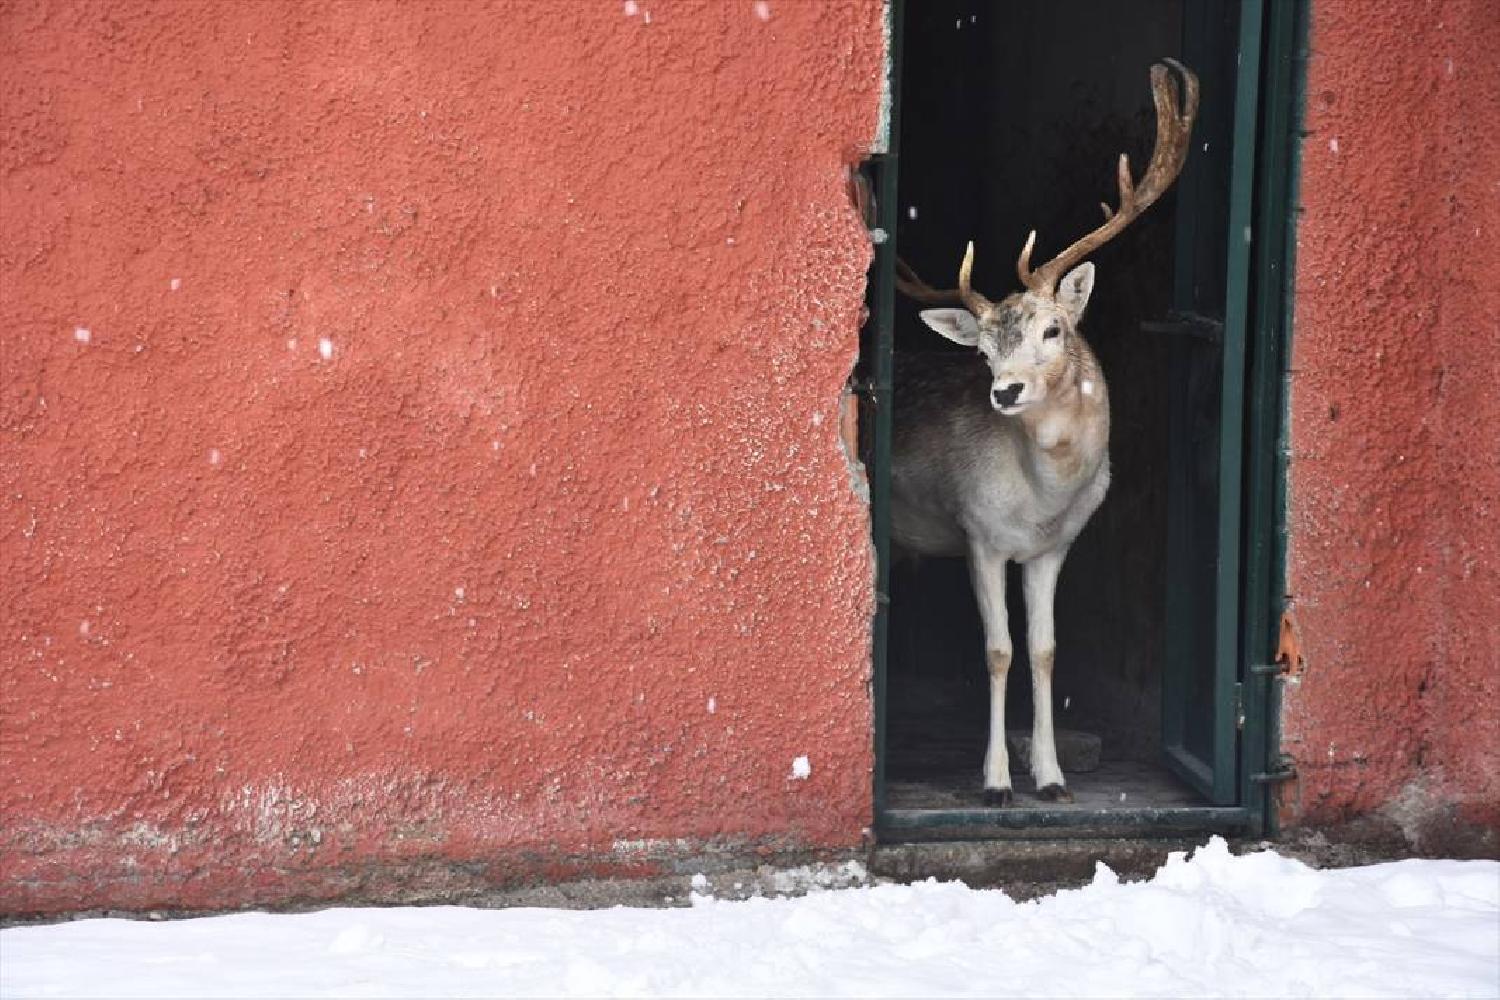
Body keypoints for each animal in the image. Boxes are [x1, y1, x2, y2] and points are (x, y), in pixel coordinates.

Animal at [890, 60, 1198, 806]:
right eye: (982, 352)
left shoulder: (1056, 548)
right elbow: (998, 650)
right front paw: (997, 781)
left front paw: (1053, 778)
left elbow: (1045, 649)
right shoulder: (978, 533)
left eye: (1053, 329)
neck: (1043, 499)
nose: (1004, 391)